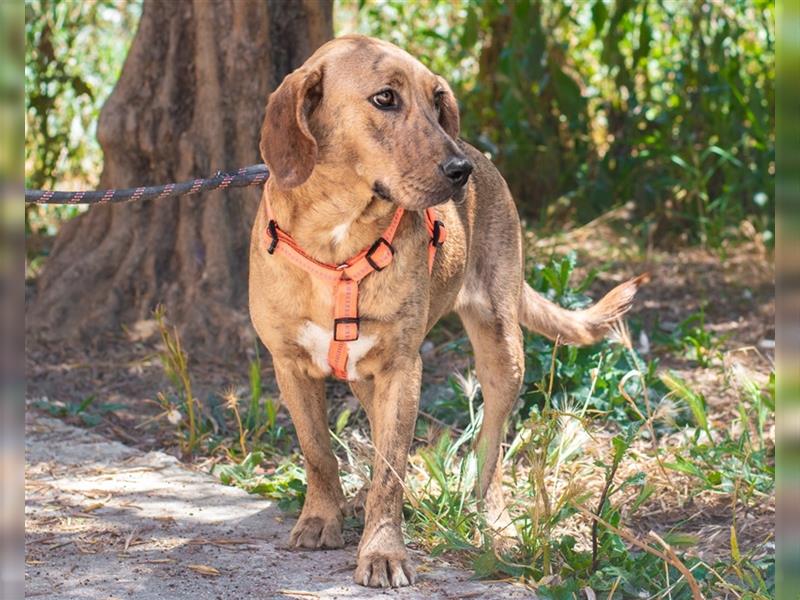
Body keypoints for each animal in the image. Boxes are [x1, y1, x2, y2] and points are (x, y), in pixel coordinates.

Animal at [248, 35, 644, 588]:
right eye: (385, 98)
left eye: (438, 100)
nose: (461, 173)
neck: (336, 239)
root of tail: (485, 158)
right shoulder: (290, 366)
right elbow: (319, 452)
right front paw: (323, 518)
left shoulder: (402, 368)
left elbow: (390, 472)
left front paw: (383, 550)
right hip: (367, 376)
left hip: (501, 347)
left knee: (491, 448)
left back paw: (493, 520)